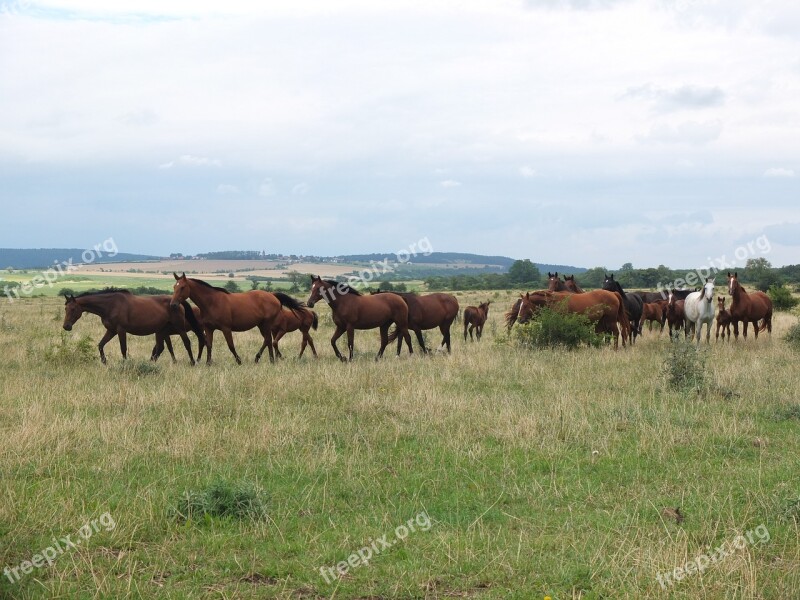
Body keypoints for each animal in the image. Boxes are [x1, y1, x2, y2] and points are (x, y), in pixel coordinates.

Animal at [63, 290, 206, 366]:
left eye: (73, 309)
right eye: (65, 309)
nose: (66, 326)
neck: (110, 305)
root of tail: (177, 302)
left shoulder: (121, 330)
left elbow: (123, 348)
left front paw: (125, 364)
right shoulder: (111, 331)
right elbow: (100, 345)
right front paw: (104, 361)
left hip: (179, 328)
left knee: (187, 342)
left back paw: (193, 362)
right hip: (161, 331)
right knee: (160, 348)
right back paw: (150, 363)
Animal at [170, 274, 304, 366]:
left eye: (182, 287)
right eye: (174, 287)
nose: (173, 305)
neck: (212, 302)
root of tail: (272, 295)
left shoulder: (226, 328)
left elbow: (231, 346)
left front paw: (239, 361)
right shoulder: (209, 328)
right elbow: (209, 345)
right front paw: (208, 363)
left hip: (266, 324)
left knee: (268, 340)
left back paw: (269, 360)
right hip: (261, 325)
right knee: (267, 340)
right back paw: (261, 358)